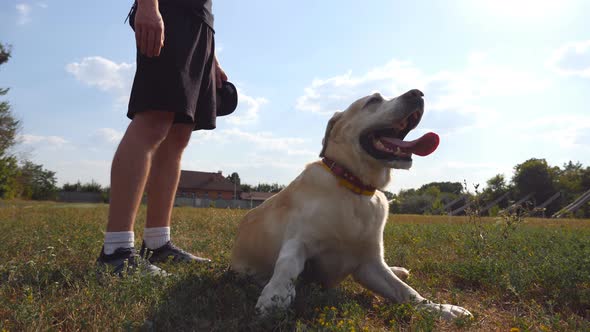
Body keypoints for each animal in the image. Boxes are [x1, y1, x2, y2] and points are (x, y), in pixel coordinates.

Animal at [230, 89, 472, 320]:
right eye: (373, 101)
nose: (417, 93)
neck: (355, 187)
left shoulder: (370, 263)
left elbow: (406, 291)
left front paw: (440, 308)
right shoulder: (298, 240)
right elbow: (287, 264)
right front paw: (275, 296)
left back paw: (398, 269)